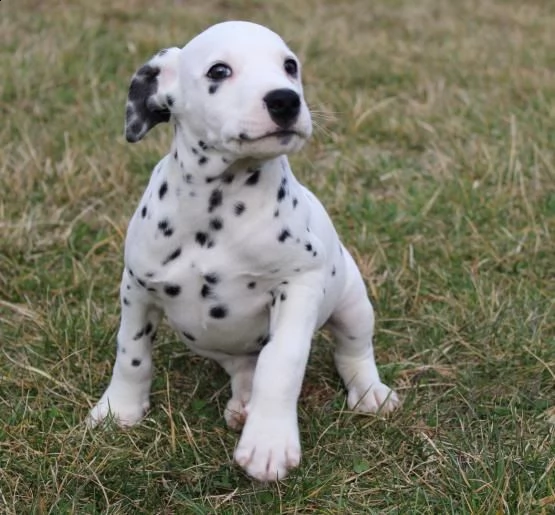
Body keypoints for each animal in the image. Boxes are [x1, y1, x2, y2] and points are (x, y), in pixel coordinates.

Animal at [88, 19, 400, 480]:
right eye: (219, 71)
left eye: (290, 66)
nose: (286, 100)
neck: (215, 207)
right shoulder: (137, 288)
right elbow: (131, 352)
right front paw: (119, 408)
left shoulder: (299, 284)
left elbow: (282, 360)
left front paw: (269, 441)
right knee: (243, 367)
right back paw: (242, 402)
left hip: (352, 304)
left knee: (353, 351)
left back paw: (369, 392)